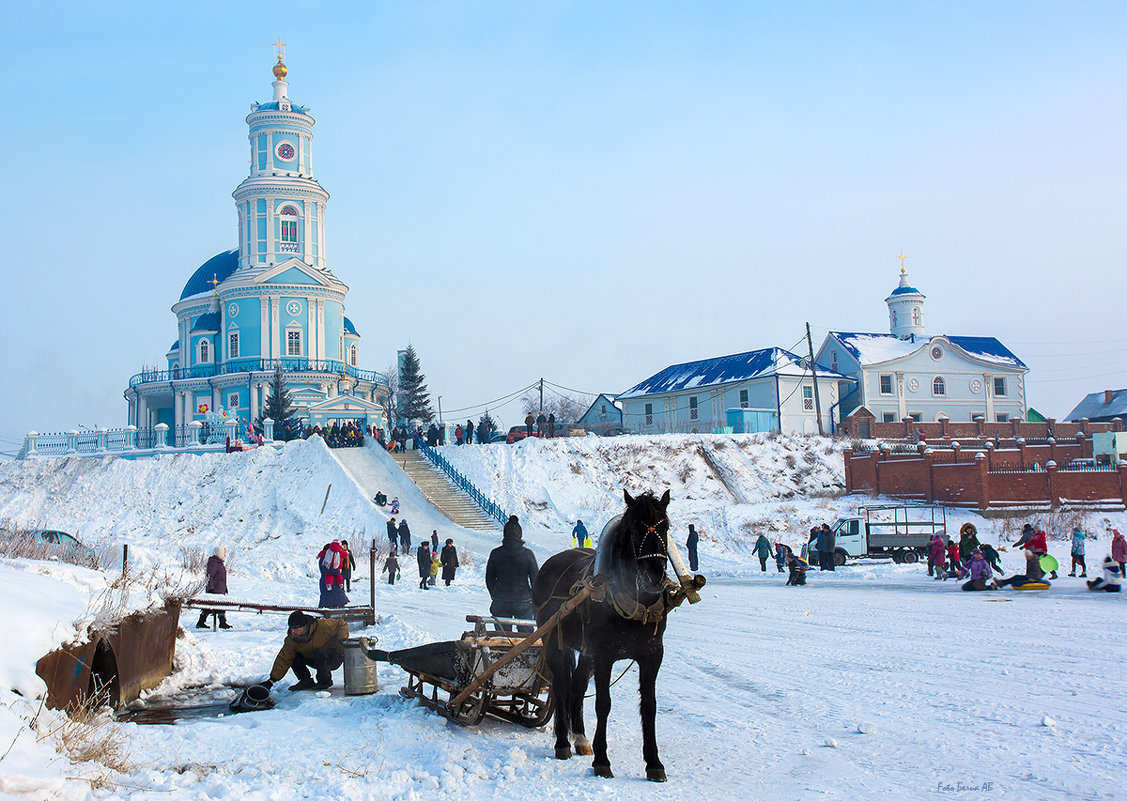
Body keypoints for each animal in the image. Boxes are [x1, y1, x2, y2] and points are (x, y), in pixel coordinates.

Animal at [531, 488, 671, 784]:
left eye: (665, 525)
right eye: (635, 528)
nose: (655, 576)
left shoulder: (652, 655)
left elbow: (649, 706)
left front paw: (654, 763)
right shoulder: (604, 654)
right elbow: (603, 704)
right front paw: (602, 761)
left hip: (585, 651)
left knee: (576, 686)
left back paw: (580, 738)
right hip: (555, 642)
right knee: (561, 686)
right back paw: (563, 742)